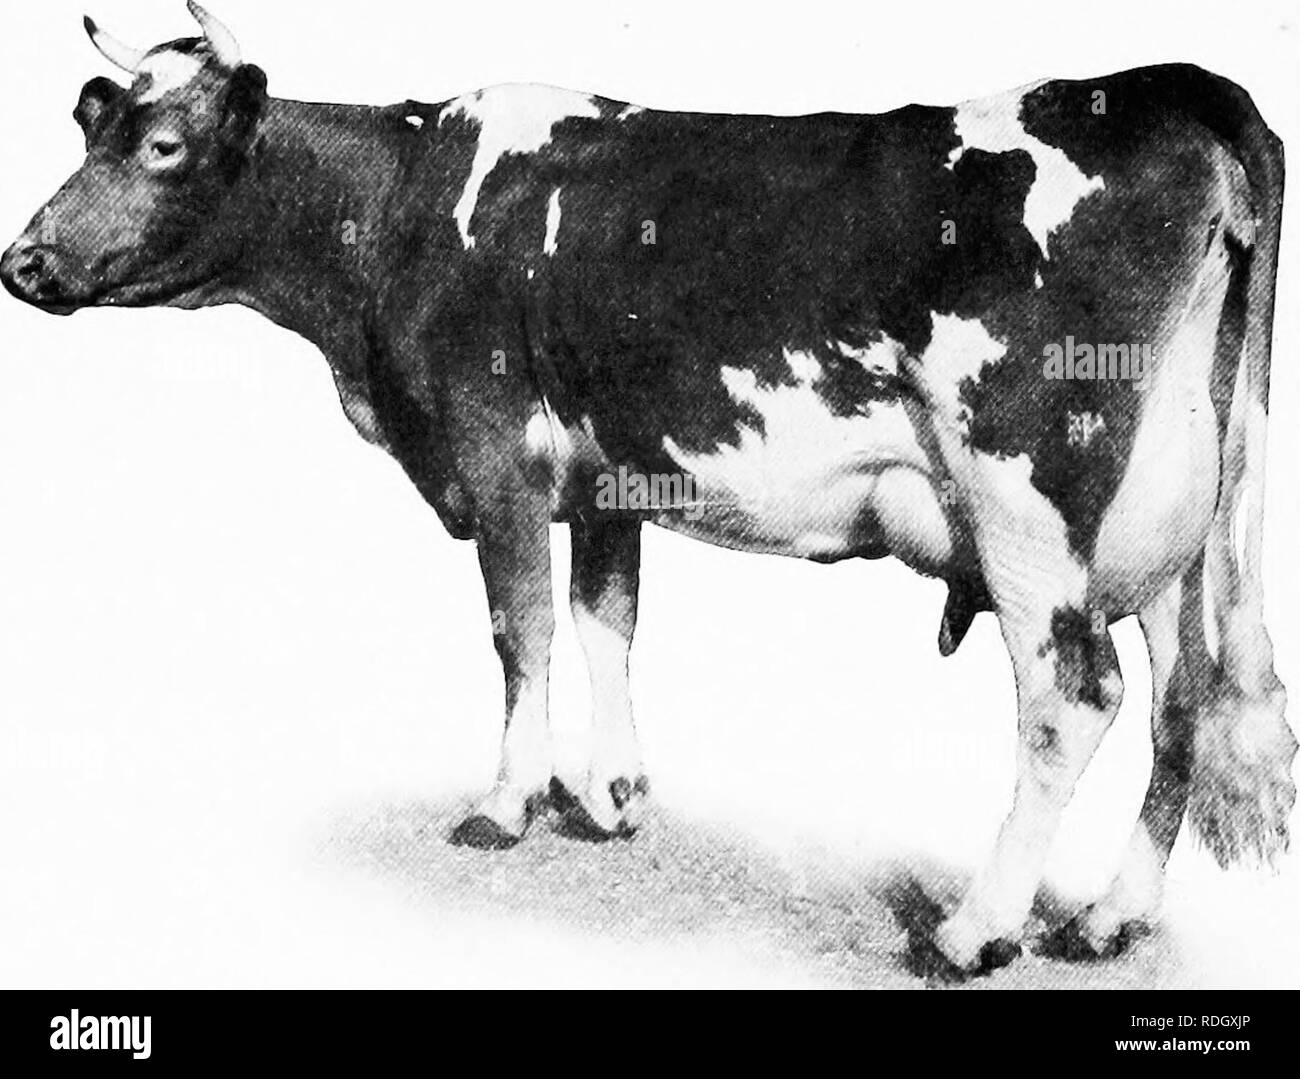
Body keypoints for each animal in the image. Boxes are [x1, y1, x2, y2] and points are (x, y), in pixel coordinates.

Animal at [2, 3, 1294, 978]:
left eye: (163, 148)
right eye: (92, 126)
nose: (24, 262)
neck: (407, 215)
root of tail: (1163, 86)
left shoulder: (496, 456)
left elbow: (520, 629)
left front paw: (508, 801)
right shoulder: (607, 472)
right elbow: (605, 616)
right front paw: (615, 792)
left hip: (1028, 502)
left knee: (1071, 696)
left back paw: (974, 929)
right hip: (1167, 522)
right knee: (1182, 698)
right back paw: (1110, 916)